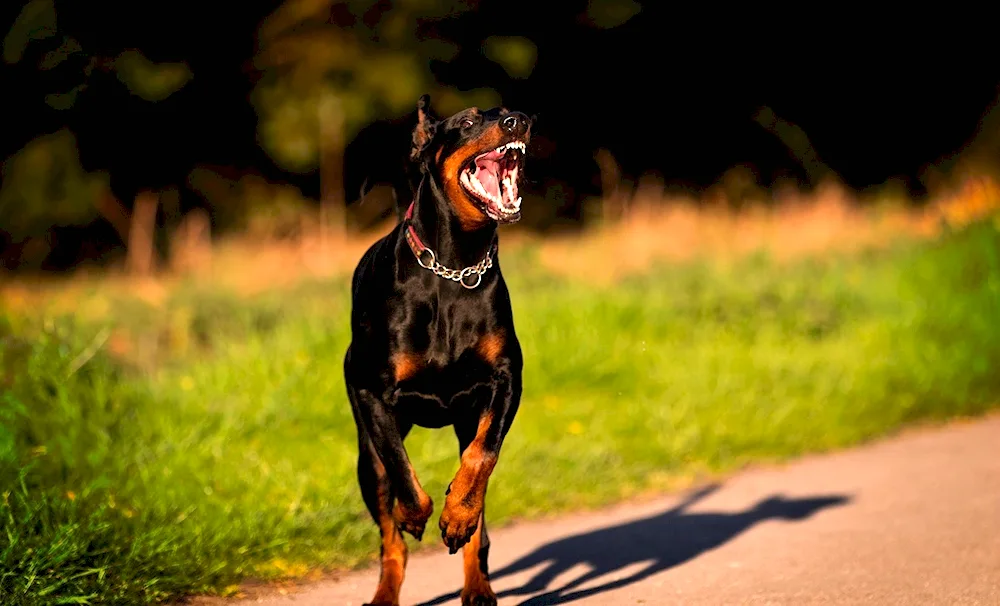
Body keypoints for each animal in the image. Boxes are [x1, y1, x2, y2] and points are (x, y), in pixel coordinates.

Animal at [344, 96, 532, 606]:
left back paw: (477, 583)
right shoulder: (372, 392)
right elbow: (399, 467)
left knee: (477, 509)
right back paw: (385, 593)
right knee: (390, 535)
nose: (520, 121)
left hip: (467, 419)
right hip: (365, 456)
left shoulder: (505, 381)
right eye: (467, 121)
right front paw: (416, 514)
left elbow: (482, 458)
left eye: (508, 110)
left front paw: (457, 516)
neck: (455, 265)